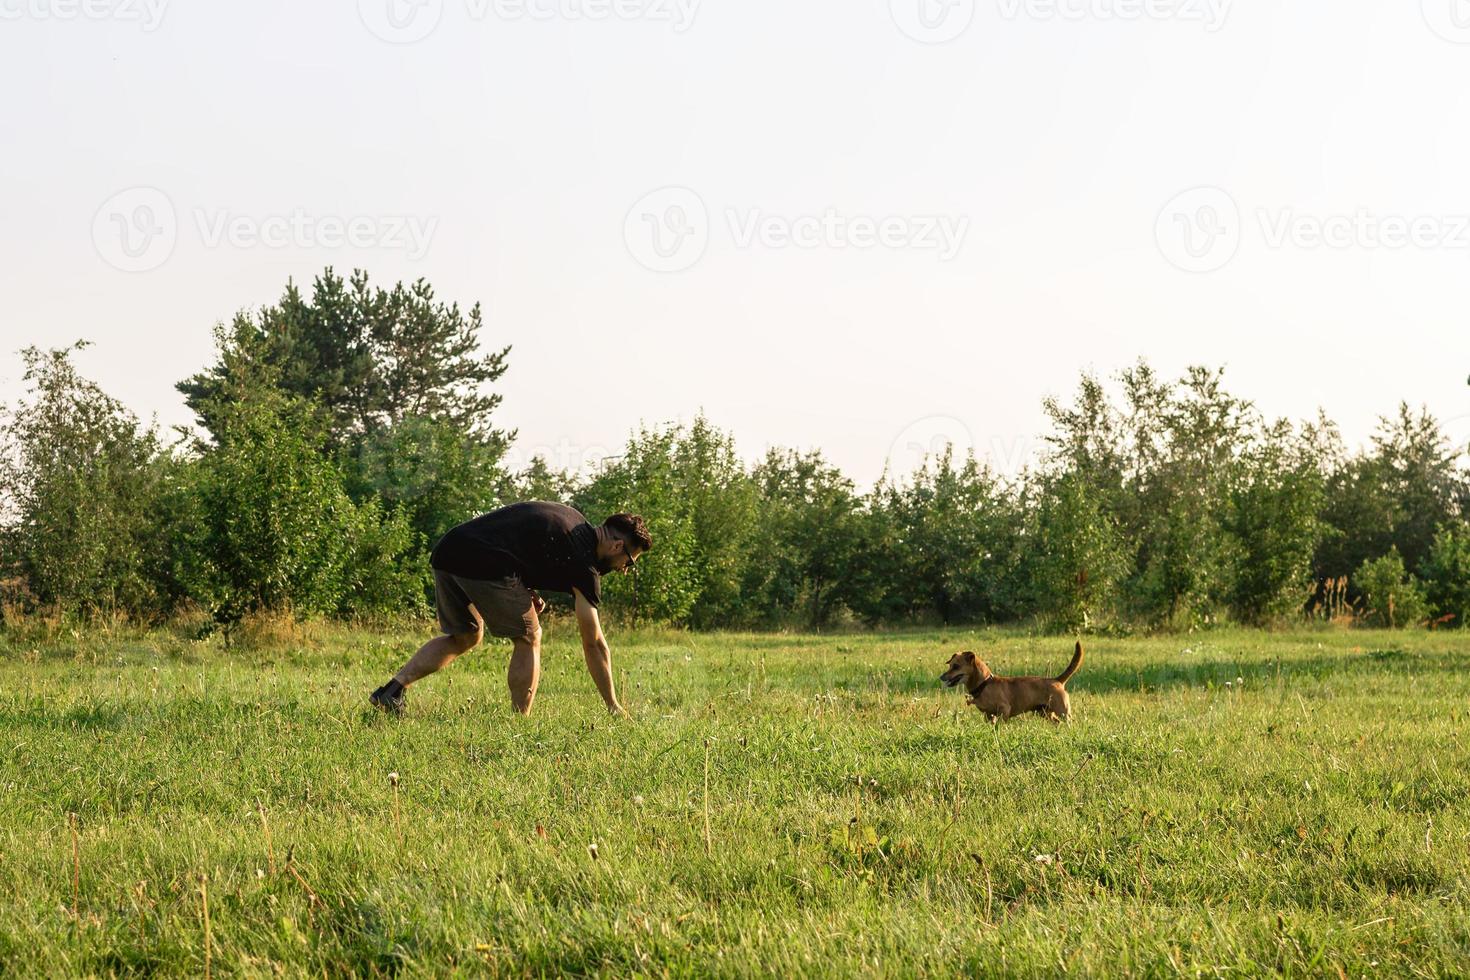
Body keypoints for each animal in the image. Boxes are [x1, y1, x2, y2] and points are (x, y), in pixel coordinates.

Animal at [940, 643, 1081, 719]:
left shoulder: (1004, 710)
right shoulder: (989, 716)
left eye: (956, 666)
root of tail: (1057, 680)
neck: (985, 684)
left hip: (1063, 712)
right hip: (1044, 712)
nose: (941, 677)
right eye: (950, 665)